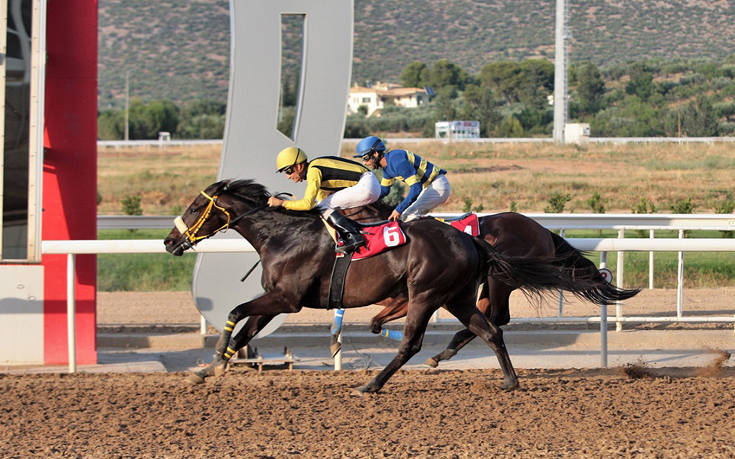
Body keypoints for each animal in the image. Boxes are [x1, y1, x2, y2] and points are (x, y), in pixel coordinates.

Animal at [162, 180, 600, 396]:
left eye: (195, 207)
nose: (169, 241)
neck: (283, 235)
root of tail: (469, 240)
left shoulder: (287, 299)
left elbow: (236, 311)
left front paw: (214, 359)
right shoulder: (279, 300)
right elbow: (245, 328)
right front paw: (208, 369)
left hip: (431, 292)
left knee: (415, 342)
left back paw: (371, 384)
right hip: (457, 296)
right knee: (490, 328)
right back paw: (508, 380)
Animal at [344, 203, 640, 368]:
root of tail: (543, 232)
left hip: (500, 277)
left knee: (498, 316)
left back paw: (447, 350)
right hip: (492, 281)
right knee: (490, 316)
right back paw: (445, 351)